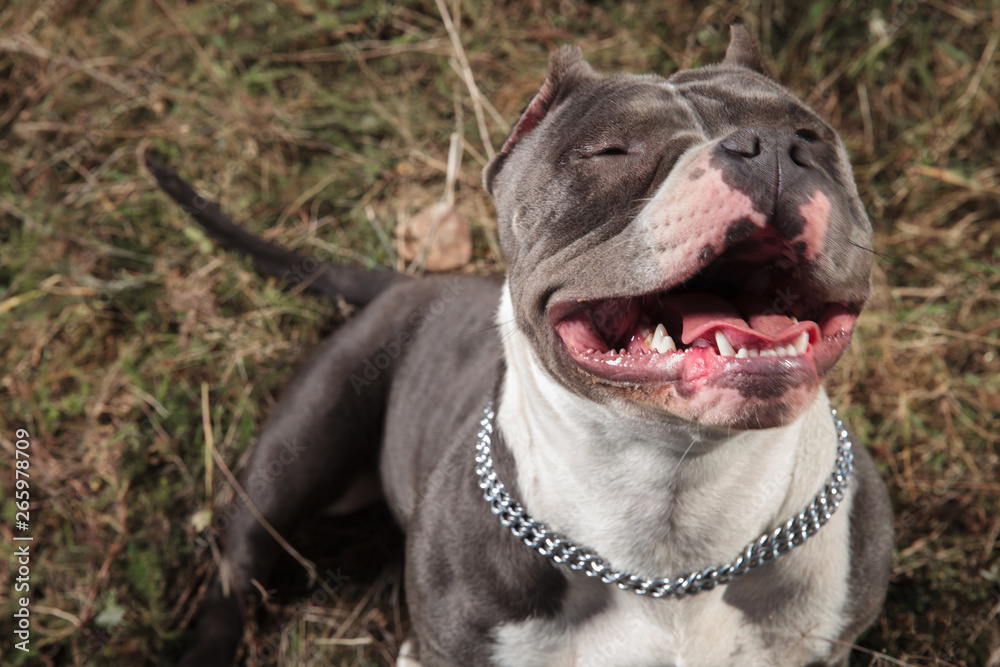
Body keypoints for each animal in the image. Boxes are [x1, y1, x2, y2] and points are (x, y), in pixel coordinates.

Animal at [152, 26, 896, 667]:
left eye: (812, 134)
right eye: (609, 151)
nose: (768, 147)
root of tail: (409, 282)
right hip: (297, 448)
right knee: (239, 563)